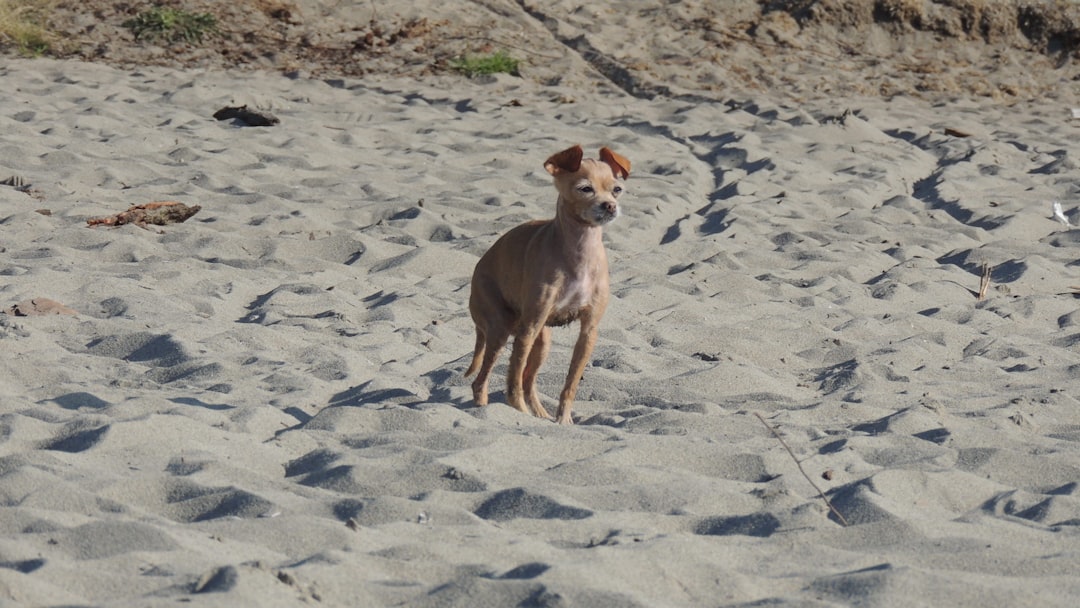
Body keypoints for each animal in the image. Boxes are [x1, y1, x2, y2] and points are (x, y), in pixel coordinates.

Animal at [466, 144, 630, 425]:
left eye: (616, 189)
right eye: (585, 189)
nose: (610, 205)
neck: (580, 251)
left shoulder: (588, 332)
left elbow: (570, 383)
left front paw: (563, 420)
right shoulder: (529, 329)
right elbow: (512, 382)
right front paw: (518, 413)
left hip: (542, 342)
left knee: (527, 380)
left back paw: (541, 414)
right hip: (502, 330)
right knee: (484, 380)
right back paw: (485, 411)